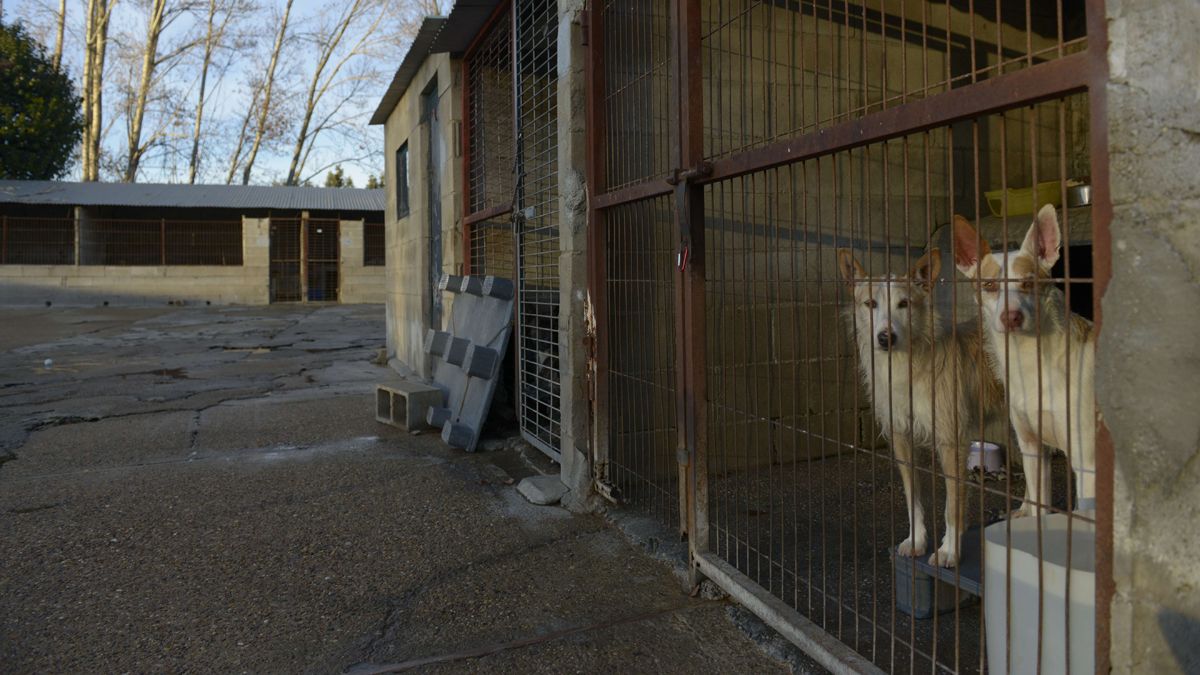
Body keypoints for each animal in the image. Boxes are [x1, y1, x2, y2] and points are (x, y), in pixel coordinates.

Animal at [835, 247, 1003, 562]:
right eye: (870, 304)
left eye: (904, 304)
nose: (886, 337)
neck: (908, 367)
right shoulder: (901, 437)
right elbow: (912, 498)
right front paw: (917, 540)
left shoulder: (952, 440)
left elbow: (952, 504)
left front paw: (949, 550)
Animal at [955, 204, 1099, 509]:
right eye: (989, 285)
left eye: (1027, 283)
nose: (1011, 317)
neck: (1033, 360)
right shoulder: (1033, 449)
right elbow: (1038, 507)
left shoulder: (1087, 462)